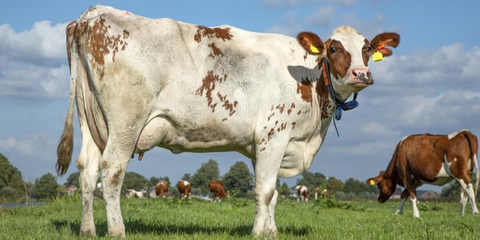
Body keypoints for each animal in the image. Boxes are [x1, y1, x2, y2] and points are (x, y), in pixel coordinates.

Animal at [55, 5, 402, 238]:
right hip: (126, 123)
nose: (361, 74)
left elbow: (272, 193)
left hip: (92, 121)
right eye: (334, 48)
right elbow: (265, 191)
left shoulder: (266, 145)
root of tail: (94, 14)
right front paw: (259, 233)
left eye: (367, 48)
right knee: (112, 171)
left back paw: (88, 230)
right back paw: (117, 231)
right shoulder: (273, 135)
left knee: (87, 169)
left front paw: (271, 232)